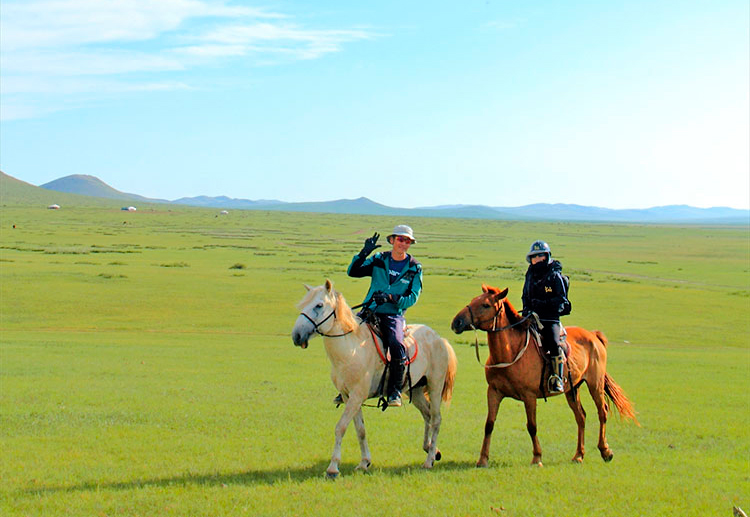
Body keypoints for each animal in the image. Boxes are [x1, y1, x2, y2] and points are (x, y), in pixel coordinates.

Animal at [292, 280, 458, 478]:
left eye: (318, 305)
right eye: (304, 304)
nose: (296, 335)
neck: (352, 349)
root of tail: (439, 339)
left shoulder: (357, 396)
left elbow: (340, 427)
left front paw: (333, 468)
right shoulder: (349, 396)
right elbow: (360, 430)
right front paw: (364, 462)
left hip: (435, 386)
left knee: (436, 418)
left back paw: (428, 459)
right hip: (416, 390)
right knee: (427, 415)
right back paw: (431, 450)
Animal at [452, 284, 640, 466]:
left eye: (485, 305)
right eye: (473, 300)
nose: (457, 322)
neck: (510, 352)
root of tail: (593, 335)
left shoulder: (529, 396)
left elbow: (532, 426)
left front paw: (537, 457)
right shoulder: (494, 392)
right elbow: (489, 424)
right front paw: (483, 459)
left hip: (595, 384)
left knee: (602, 412)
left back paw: (605, 451)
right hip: (573, 389)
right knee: (581, 417)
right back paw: (579, 455)